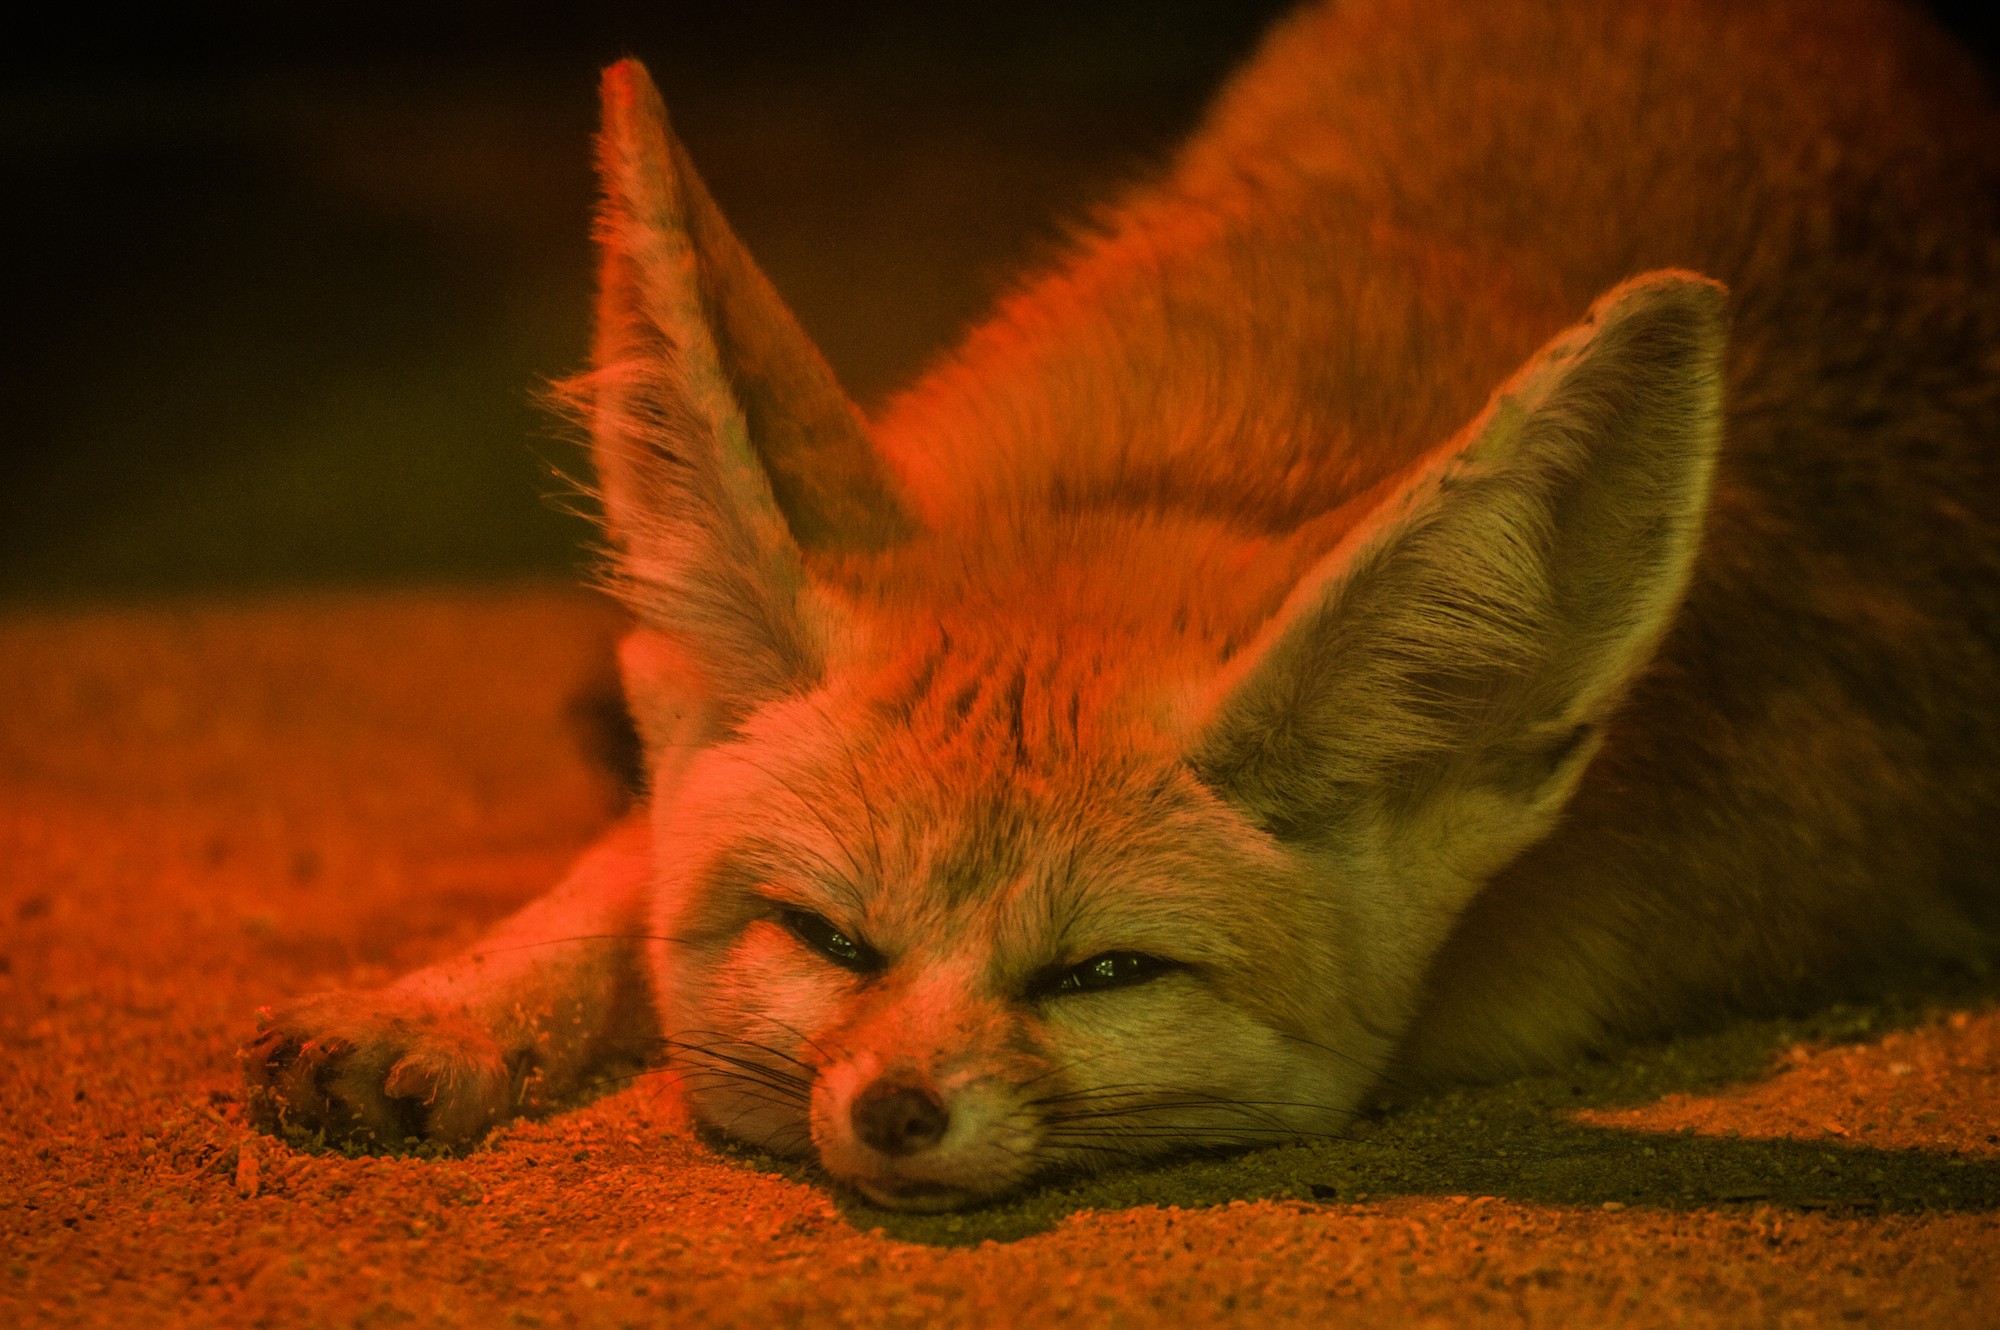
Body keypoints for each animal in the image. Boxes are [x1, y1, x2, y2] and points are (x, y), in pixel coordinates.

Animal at [246, 0, 2000, 1200]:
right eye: (827, 936)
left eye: (1103, 975)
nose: (895, 1108)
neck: (1193, 459)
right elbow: (615, 883)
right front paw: (438, 1005)